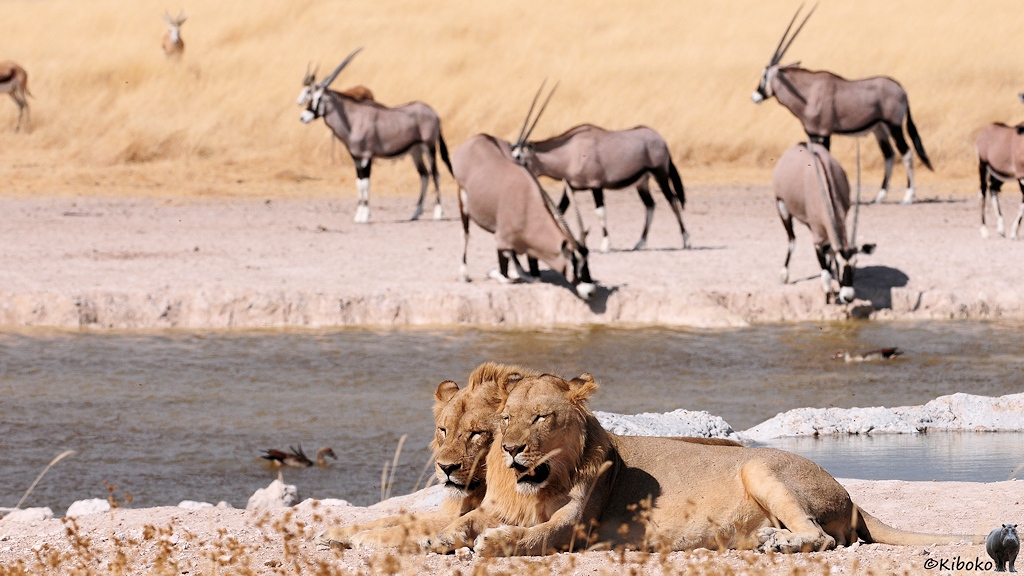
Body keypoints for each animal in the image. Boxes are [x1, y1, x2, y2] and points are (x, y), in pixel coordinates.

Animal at [427, 372, 984, 556]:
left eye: (541, 418)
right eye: (504, 419)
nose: (511, 450)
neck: (539, 484)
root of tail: (849, 494)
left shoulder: (576, 526)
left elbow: (533, 535)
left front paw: (493, 543)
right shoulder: (500, 506)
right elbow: (468, 520)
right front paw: (440, 538)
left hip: (761, 467)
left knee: (824, 538)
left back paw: (778, 542)